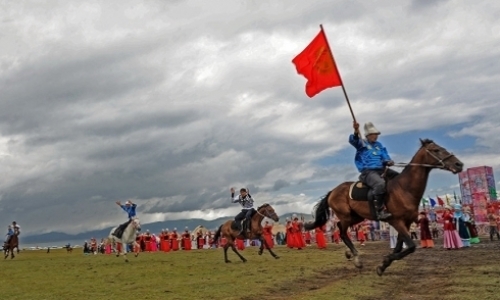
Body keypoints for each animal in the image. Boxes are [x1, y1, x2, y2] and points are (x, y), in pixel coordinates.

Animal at [302, 138, 462, 274]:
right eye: (436, 150)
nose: (459, 164)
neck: (404, 189)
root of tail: (333, 191)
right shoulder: (396, 221)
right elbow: (410, 246)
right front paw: (384, 262)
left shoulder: (406, 222)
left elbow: (399, 246)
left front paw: (385, 264)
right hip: (346, 215)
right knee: (342, 231)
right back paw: (356, 258)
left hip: (357, 217)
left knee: (341, 228)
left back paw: (350, 254)